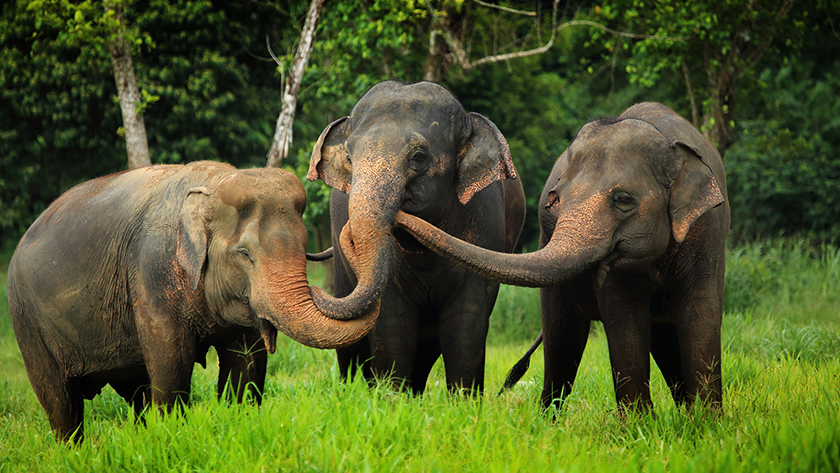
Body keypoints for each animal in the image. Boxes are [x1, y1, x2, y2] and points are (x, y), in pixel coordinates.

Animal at [7, 161, 380, 443]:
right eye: (244, 254)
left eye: (304, 247)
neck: (211, 186)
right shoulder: (151, 273)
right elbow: (171, 362)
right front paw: (174, 437)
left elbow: (246, 364)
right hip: (26, 318)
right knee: (60, 401)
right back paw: (72, 450)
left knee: (135, 391)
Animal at [306, 80, 526, 394]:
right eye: (349, 158)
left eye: (418, 158)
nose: (314, 289)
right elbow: (391, 323)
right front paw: (389, 398)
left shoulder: (485, 225)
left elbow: (466, 324)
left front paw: (464, 401)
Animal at [395, 102, 730, 413]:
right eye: (556, 199)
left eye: (623, 200)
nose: (399, 211)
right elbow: (624, 321)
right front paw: (642, 427)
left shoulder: (708, 230)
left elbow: (701, 313)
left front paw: (707, 425)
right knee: (562, 342)